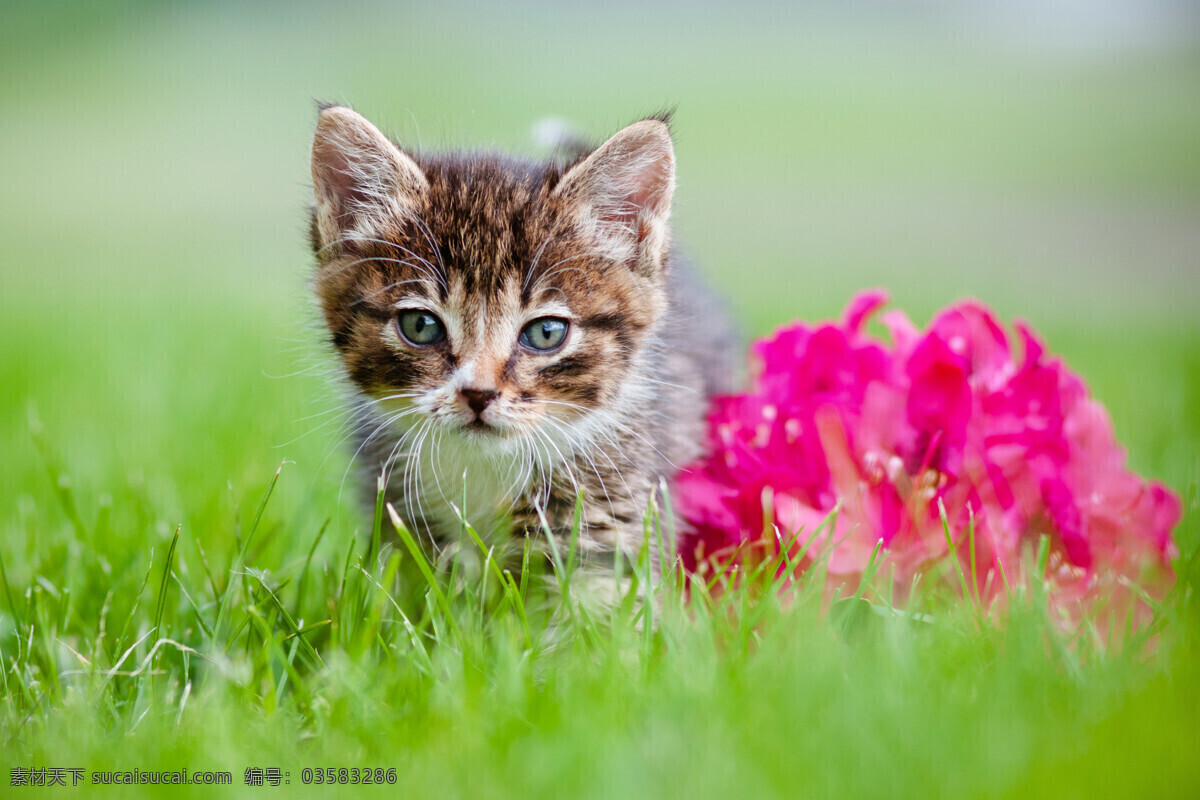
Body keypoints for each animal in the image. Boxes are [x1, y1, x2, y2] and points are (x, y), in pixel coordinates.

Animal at [307, 104, 739, 582]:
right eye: (421, 326)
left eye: (545, 333)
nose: (478, 393)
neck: (482, 469)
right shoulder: (398, 513)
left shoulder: (612, 508)